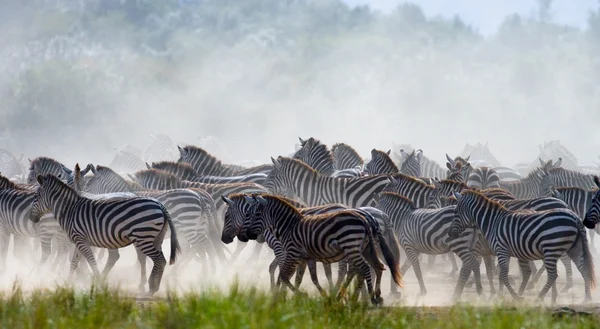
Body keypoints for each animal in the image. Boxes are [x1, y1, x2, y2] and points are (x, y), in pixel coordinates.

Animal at [29, 173, 180, 294]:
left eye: (36, 196)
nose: (31, 218)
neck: (69, 210)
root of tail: (160, 205)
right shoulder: (78, 240)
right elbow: (74, 262)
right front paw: (68, 281)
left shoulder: (80, 239)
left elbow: (90, 260)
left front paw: (97, 281)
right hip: (156, 238)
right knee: (155, 259)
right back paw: (152, 285)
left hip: (143, 237)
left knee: (160, 259)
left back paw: (152, 287)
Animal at [239, 193, 404, 304]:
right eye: (248, 214)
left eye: (255, 214)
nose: (246, 235)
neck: (289, 225)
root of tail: (366, 218)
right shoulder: (305, 257)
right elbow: (303, 277)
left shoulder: (291, 253)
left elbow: (284, 275)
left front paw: (290, 295)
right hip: (365, 248)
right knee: (375, 266)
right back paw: (373, 296)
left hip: (352, 247)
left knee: (361, 268)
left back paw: (365, 297)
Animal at [450, 190, 596, 302]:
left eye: (455, 212)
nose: (450, 233)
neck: (493, 222)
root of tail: (575, 217)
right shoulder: (503, 251)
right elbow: (501, 274)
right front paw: (502, 295)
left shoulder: (501, 250)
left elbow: (502, 275)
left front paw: (515, 297)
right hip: (574, 248)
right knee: (583, 269)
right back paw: (586, 298)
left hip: (551, 248)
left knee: (553, 275)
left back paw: (539, 297)